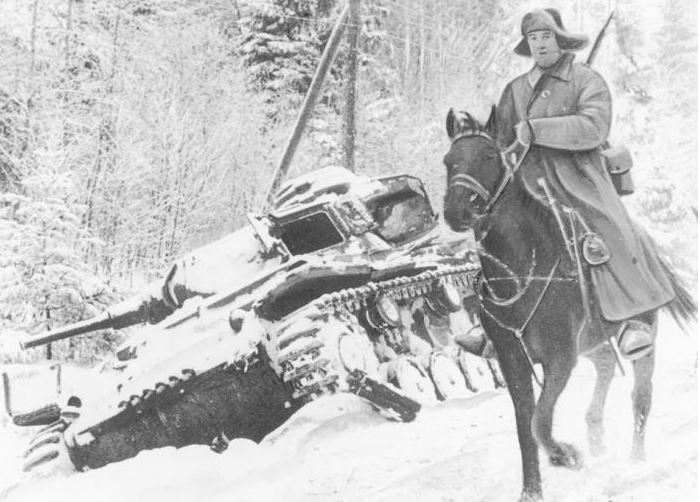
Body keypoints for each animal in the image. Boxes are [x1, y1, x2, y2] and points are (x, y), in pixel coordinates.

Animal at [442, 108, 696, 500]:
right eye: (449, 161)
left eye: (488, 156)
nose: (457, 210)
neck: (523, 272)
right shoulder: (513, 363)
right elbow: (525, 426)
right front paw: (532, 490)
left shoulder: (560, 359)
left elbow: (540, 420)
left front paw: (566, 455)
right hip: (590, 343)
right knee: (605, 365)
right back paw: (595, 435)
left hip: (642, 332)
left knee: (641, 395)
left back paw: (636, 461)